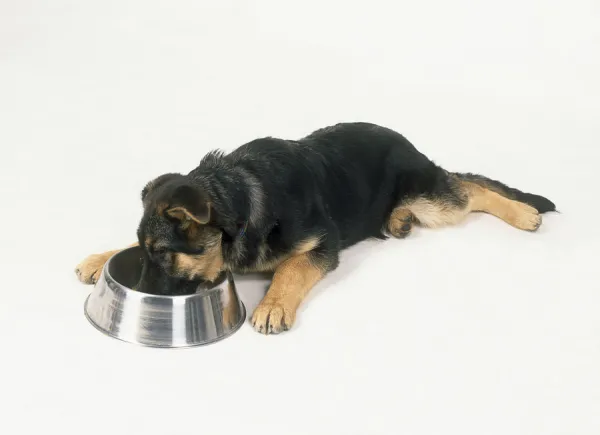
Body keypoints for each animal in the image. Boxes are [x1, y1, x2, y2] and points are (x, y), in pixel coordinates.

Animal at [74, 122, 552, 334]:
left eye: (162, 253)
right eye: (145, 250)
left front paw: (272, 304)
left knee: (471, 191)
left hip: (432, 200)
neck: (238, 199)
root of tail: (412, 145)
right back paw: (398, 219)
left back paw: (523, 214)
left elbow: (290, 269)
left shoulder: (322, 245)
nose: (140, 292)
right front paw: (101, 259)